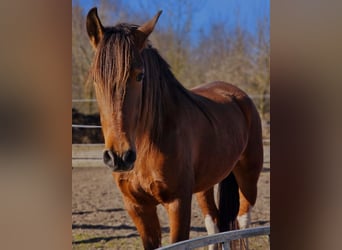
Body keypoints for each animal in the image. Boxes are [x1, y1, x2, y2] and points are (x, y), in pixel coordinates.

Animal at [87, 7, 264, 250]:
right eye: (95, 78)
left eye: (140, 76)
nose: (119, 157)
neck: (148, 142)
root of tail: (238, 95)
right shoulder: (137, 206)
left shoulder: (178, 203)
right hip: (206, 184)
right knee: (214, 224)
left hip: (248, 176)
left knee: (243, 221)